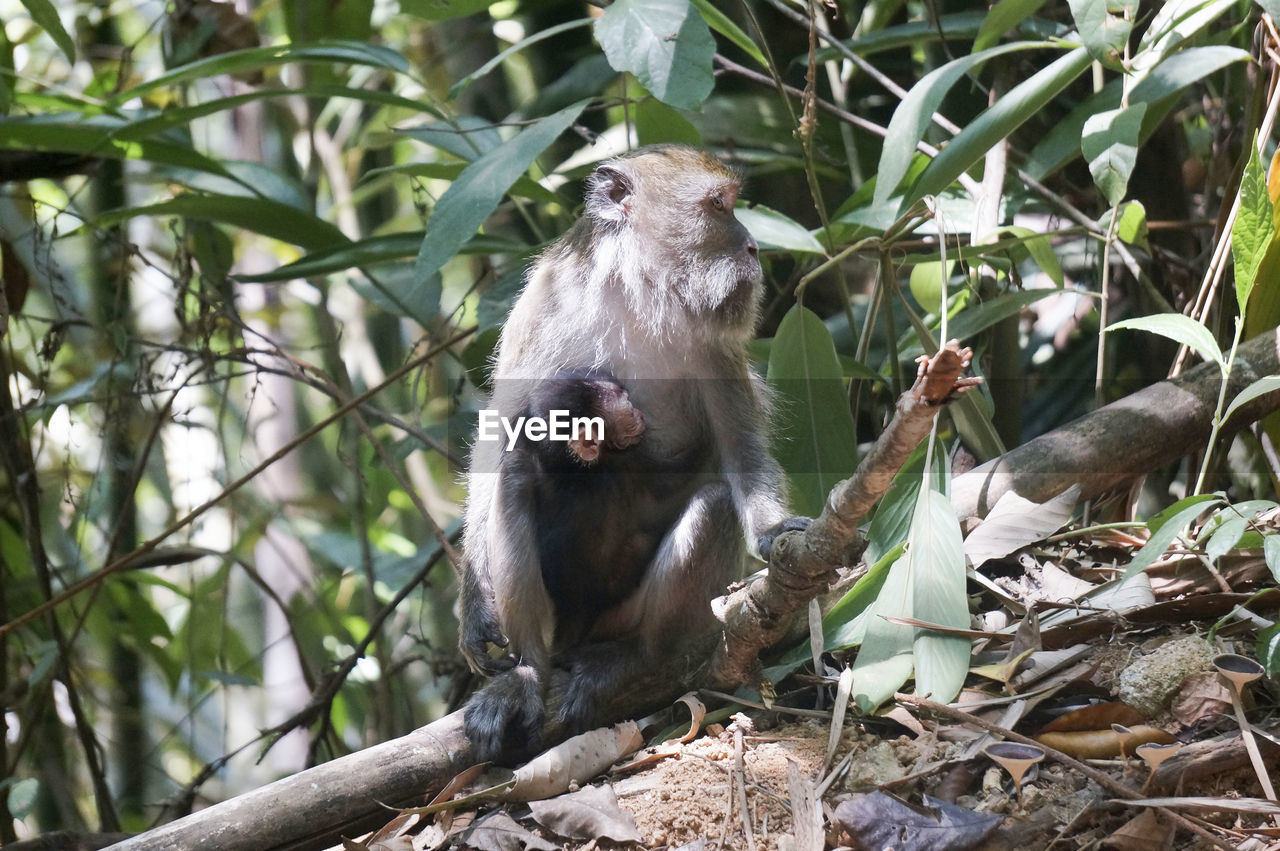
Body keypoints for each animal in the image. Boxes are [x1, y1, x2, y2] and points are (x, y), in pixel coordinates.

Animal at [460, 142, 798, 757]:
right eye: (719, 206)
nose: (754, 247)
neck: (636, 292)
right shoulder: (543, 305)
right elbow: (500, 441)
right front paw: (474, 611)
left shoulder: (712, 344)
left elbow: (739, 448)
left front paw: (773, 529)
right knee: (515, 477)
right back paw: (526, 675)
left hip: (643, 616)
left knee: (714, 506)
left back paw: (635, 657)